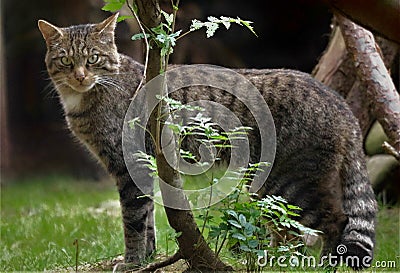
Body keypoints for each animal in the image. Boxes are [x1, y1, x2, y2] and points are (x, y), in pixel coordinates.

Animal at [38, 13, 378, 268]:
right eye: (66, 61)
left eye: (93, 58)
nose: (80, 76)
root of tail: (339, 102)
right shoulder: (142, 168)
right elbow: (146, 221)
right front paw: (147, 258)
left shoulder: (129, 165)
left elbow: (132, 220)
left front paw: (132, 261)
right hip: (273, 187)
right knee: (289, 230)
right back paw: (274, 261)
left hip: (292, 182)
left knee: (335, 221)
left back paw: (323, 265)